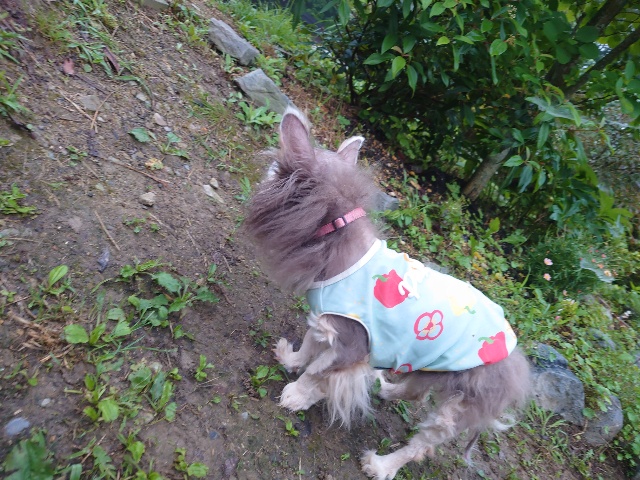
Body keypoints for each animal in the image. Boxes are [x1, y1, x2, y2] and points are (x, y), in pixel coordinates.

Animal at [244, 107, 531, 480]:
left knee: (420, 446)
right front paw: (289, 359)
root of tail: (515, 360)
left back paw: (381, 465)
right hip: (427, 366)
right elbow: (307, 349)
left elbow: (316, 374)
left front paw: (295, 395)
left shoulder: (349, 349)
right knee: (415, 392)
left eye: (273, 170)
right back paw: (388, 389)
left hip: (453, 409)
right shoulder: (324, 325)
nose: (262, 178)